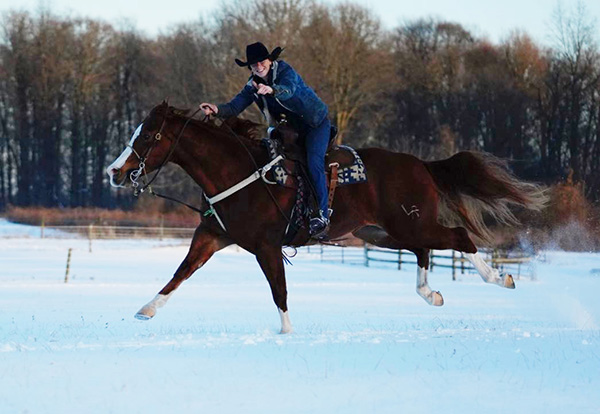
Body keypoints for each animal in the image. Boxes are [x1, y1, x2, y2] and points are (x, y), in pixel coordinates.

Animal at [105, 101, 548, 334]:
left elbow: (279, 291)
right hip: (384, 232)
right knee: (424, 252)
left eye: (149, 136)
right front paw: (146, 309)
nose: (114, 171)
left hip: (410, 224)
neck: (239, 172)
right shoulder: (211, 235)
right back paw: (431, 294)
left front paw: (285, 331)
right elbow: (182, 272)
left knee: (458, 237)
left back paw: (500, 278)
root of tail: (421, 164)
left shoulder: (266, 247)